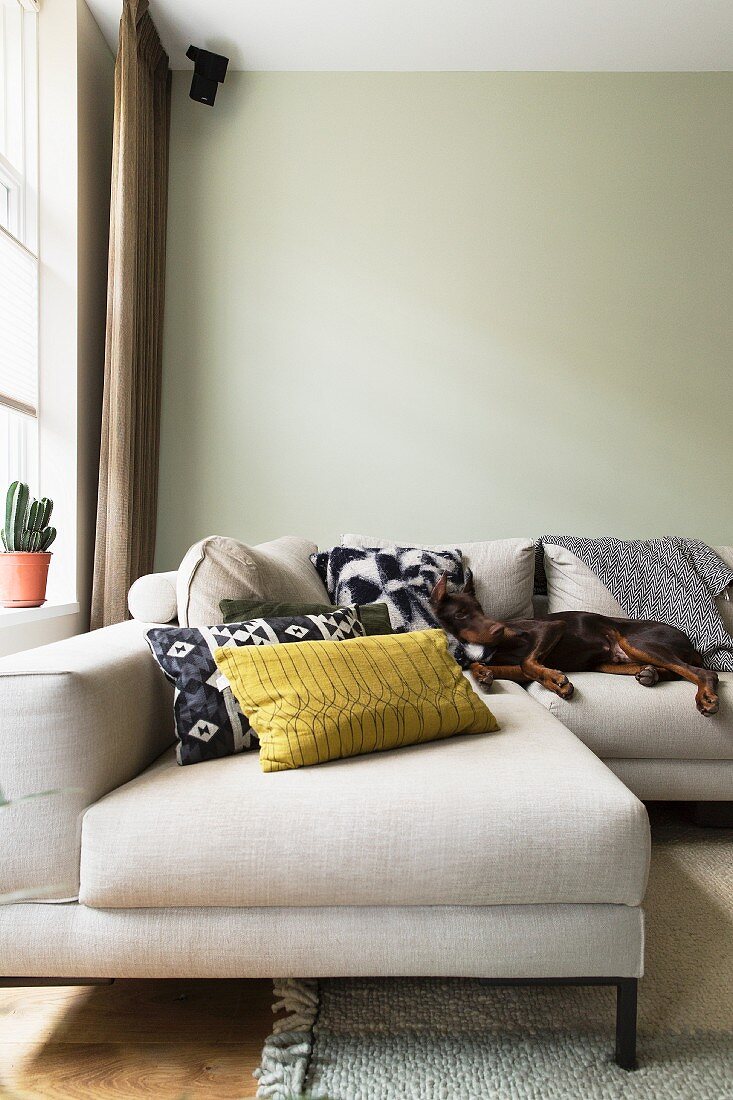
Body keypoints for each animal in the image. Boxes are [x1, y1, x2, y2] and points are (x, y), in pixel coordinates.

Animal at [431, 572, 717, 717]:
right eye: (461, 615)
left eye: (480, 609)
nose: (498, 628)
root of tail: (691, 645)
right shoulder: (513, 667)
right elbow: (513, 667)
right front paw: (483, 675)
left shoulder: (551, 627)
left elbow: (528, 662)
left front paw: (557, 681)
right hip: (610, 662)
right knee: (674, 670)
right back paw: (650, 674)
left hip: (635, 641)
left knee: (703, 673)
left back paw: (705, 697)